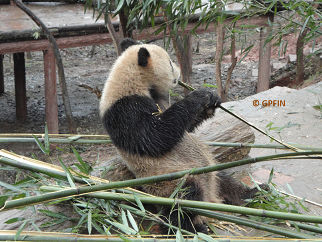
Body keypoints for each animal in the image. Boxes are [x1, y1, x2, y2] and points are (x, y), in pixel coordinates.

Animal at [100, 38, 264, 234]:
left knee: (226, 179)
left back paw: (254, 194)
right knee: (184, 201)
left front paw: (212, 101)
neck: (133, 79)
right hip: (170, 182)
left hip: (210, 168)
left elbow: (186, 127)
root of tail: (212, 199)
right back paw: (192, 228)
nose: (178, 71)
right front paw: (201, 95)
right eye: (171, 64)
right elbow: (155, 136)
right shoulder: (125, 109)